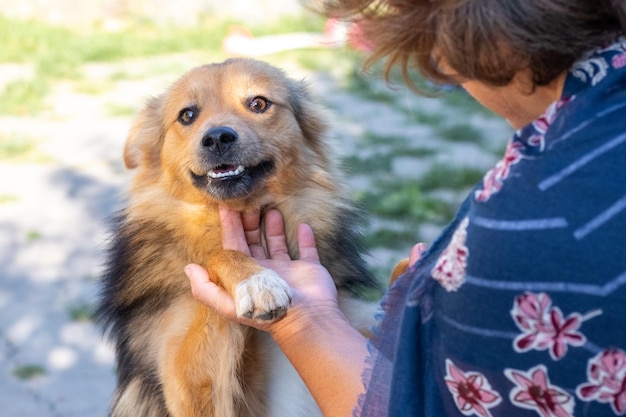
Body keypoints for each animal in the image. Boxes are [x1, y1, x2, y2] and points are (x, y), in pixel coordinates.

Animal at [96, 57, 380, 416]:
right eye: (187, 115)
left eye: (258, 103)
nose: (217, 138)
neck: (240, 217)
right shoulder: (188, 388)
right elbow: (218, 255)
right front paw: (255, 282)